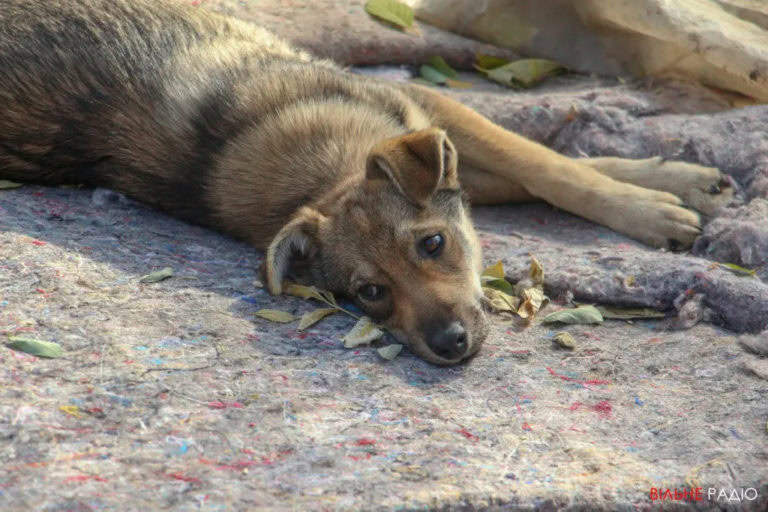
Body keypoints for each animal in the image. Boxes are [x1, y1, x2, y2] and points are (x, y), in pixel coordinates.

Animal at [0, 0, 736, 364]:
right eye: (370, 294)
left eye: (434, 245)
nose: (450, 346)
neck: (324, 173)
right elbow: (537, 171)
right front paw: (665, 200)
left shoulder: (429, 114)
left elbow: (545, 165)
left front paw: (669, 189)